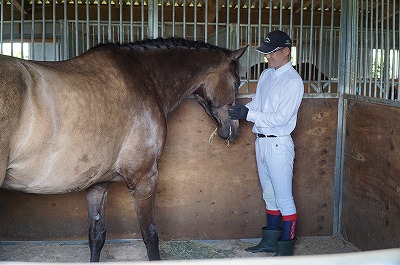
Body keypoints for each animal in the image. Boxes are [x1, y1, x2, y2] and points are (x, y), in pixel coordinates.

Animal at [0, 37, 247, 260]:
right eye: (237, 83)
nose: (233, 129)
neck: (144, 78)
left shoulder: (98, 185)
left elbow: (96, 237)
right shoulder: (144, 178)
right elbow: (150, 236)